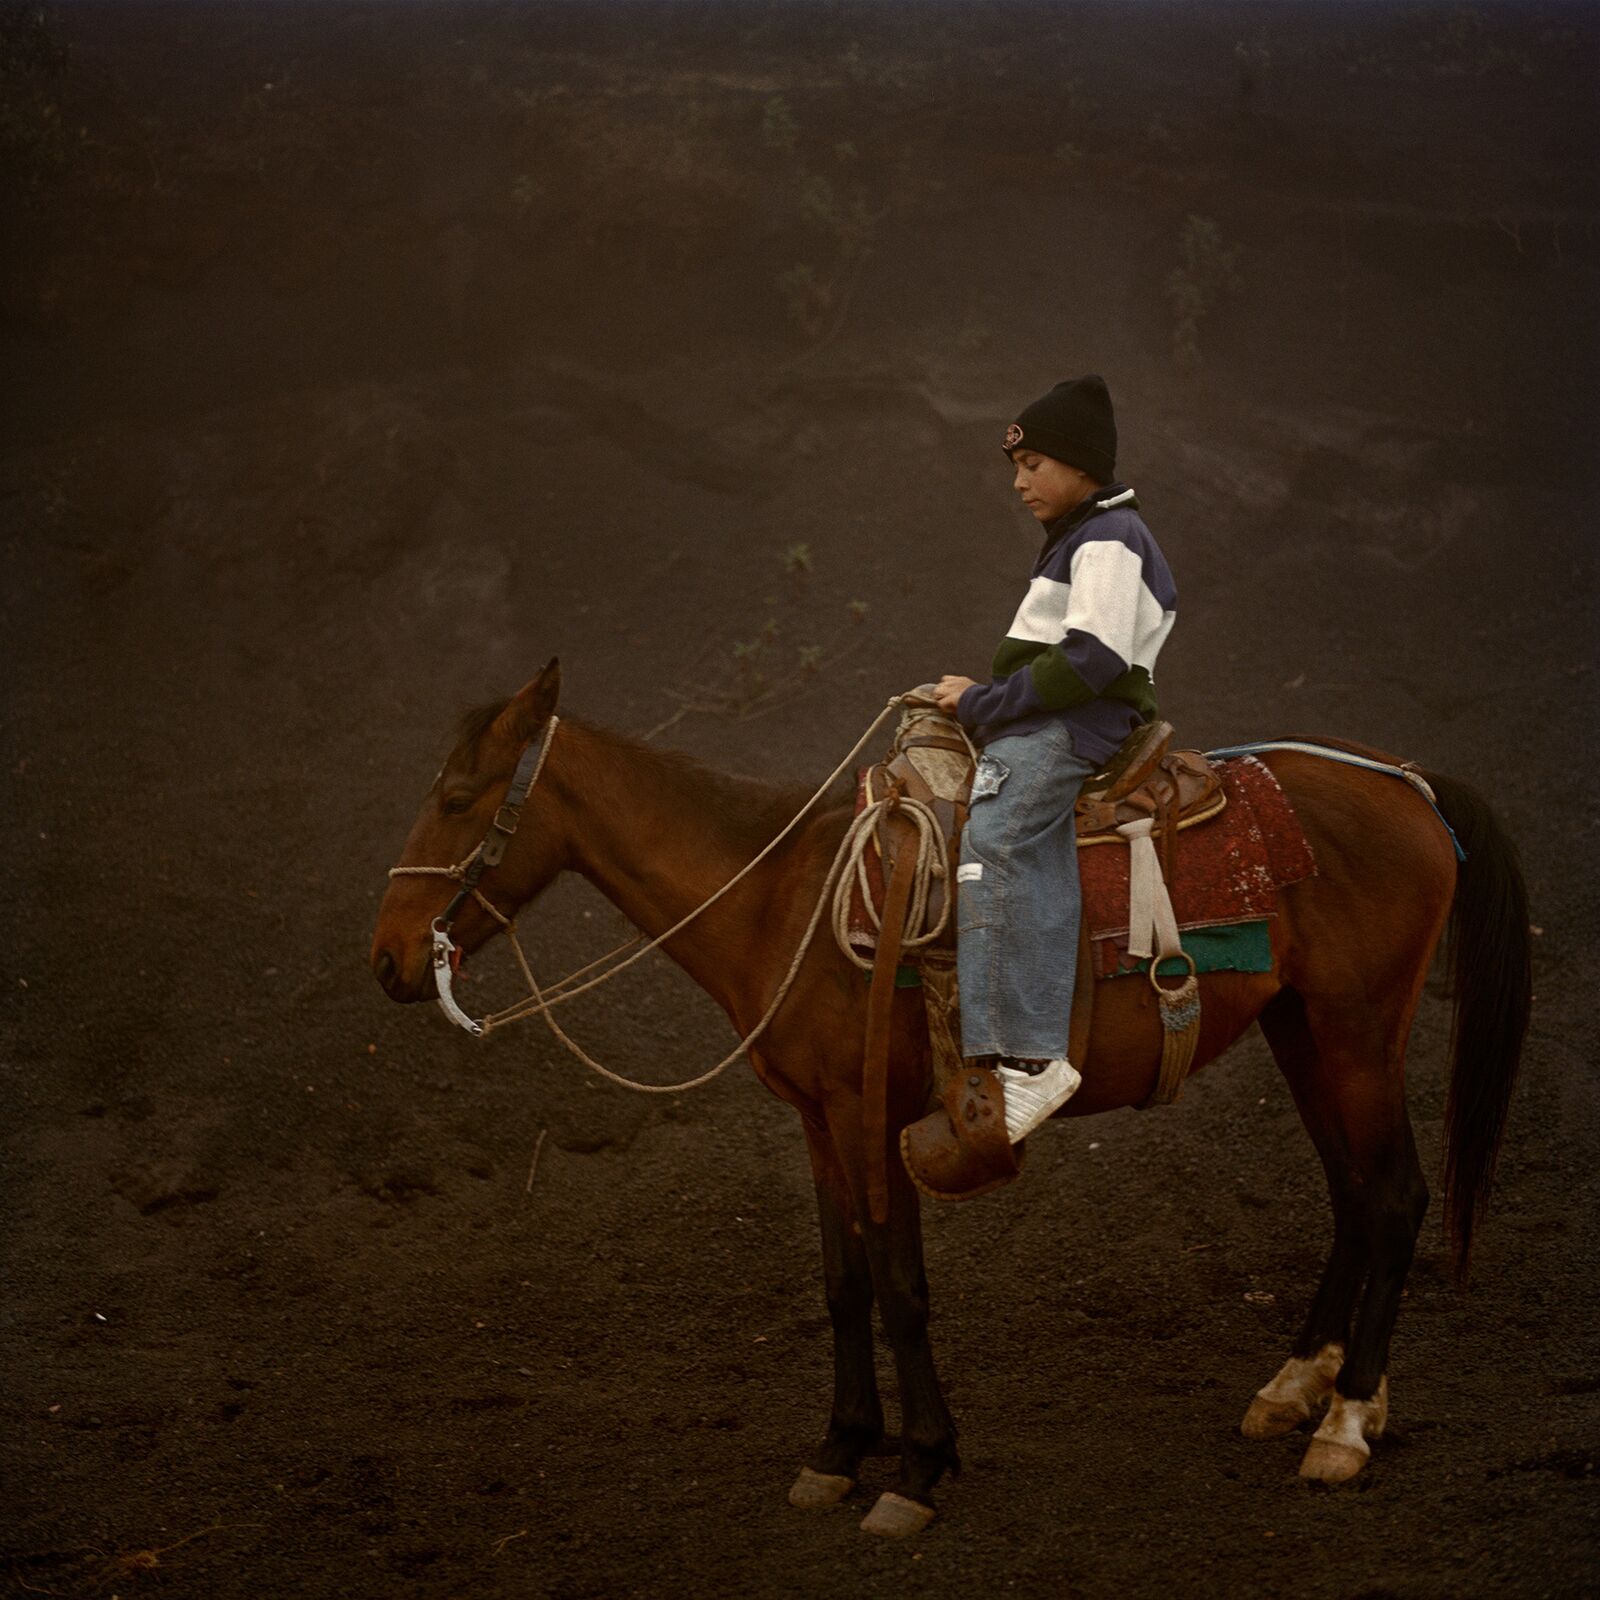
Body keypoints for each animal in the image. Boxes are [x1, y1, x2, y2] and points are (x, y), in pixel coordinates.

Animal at [368, 660, 1530, 1537]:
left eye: (461, 799)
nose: (387, 958)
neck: (783, 895)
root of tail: (1406, 781)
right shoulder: (817, 1121)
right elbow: (844, 1284)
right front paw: (839, 1450)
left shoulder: (870, 1115)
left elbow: (900, 1287)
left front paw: (919, 1468)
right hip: (1305, 1032)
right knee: (1355, 1197)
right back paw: (1297, 1390)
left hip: (1356, 1034)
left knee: (1393, 1197)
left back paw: (1344, 1426)